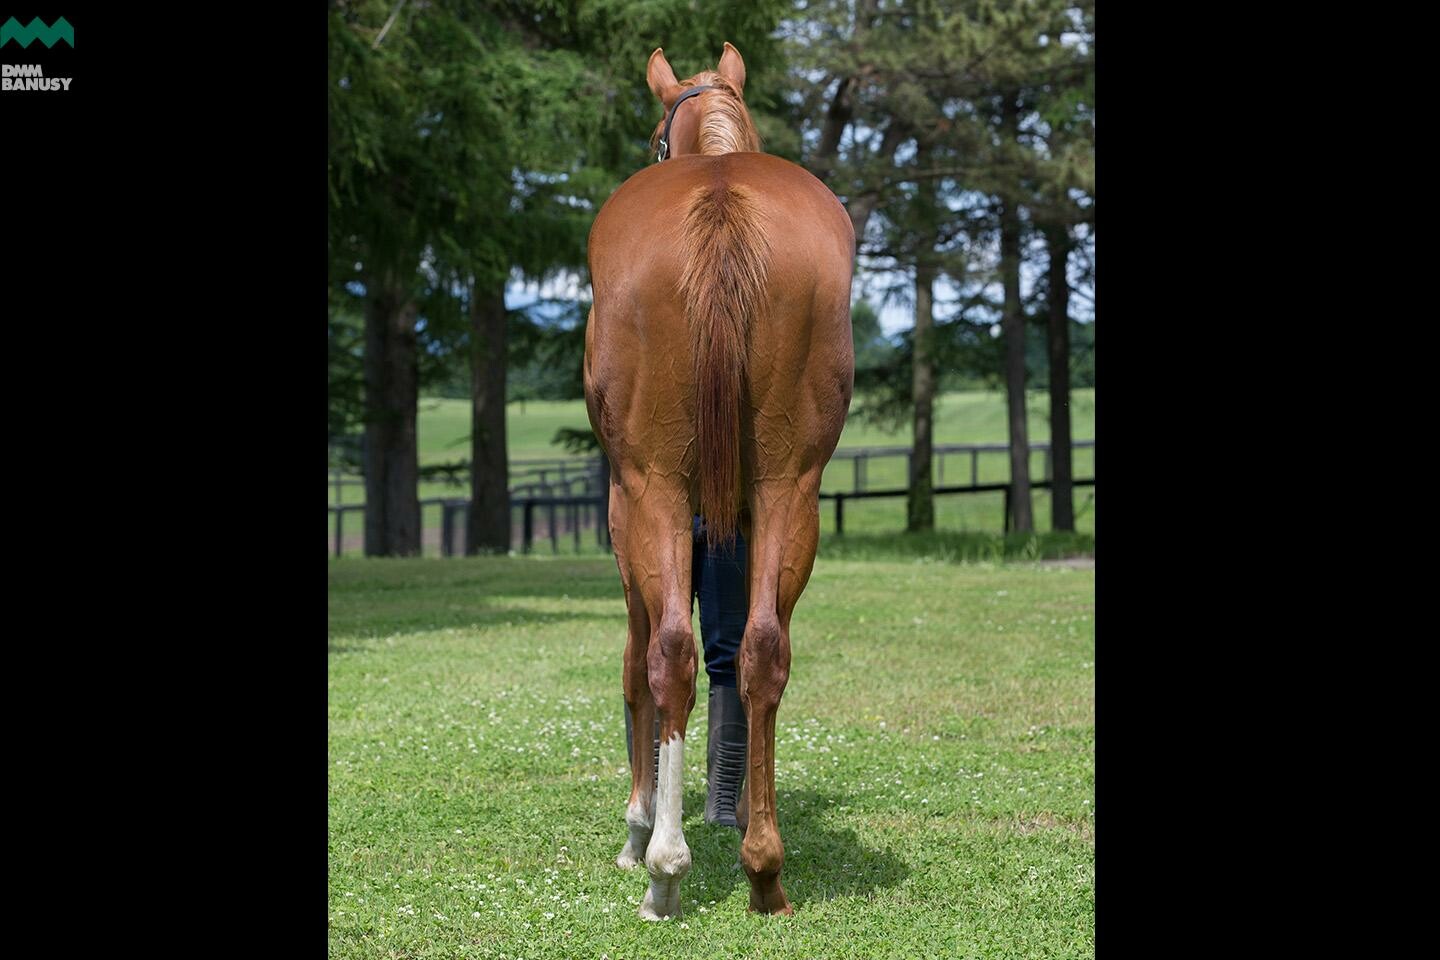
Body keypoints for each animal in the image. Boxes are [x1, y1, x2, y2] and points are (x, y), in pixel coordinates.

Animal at [584, 42, 854, 920]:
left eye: (653, 137)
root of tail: (722, 198)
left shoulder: (623, 504)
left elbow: (638, 661)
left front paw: (639, 828)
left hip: (655, 488)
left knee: (667, 651)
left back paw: (664, 869)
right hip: (789, 489)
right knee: (764, 650)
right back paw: (764, 869)